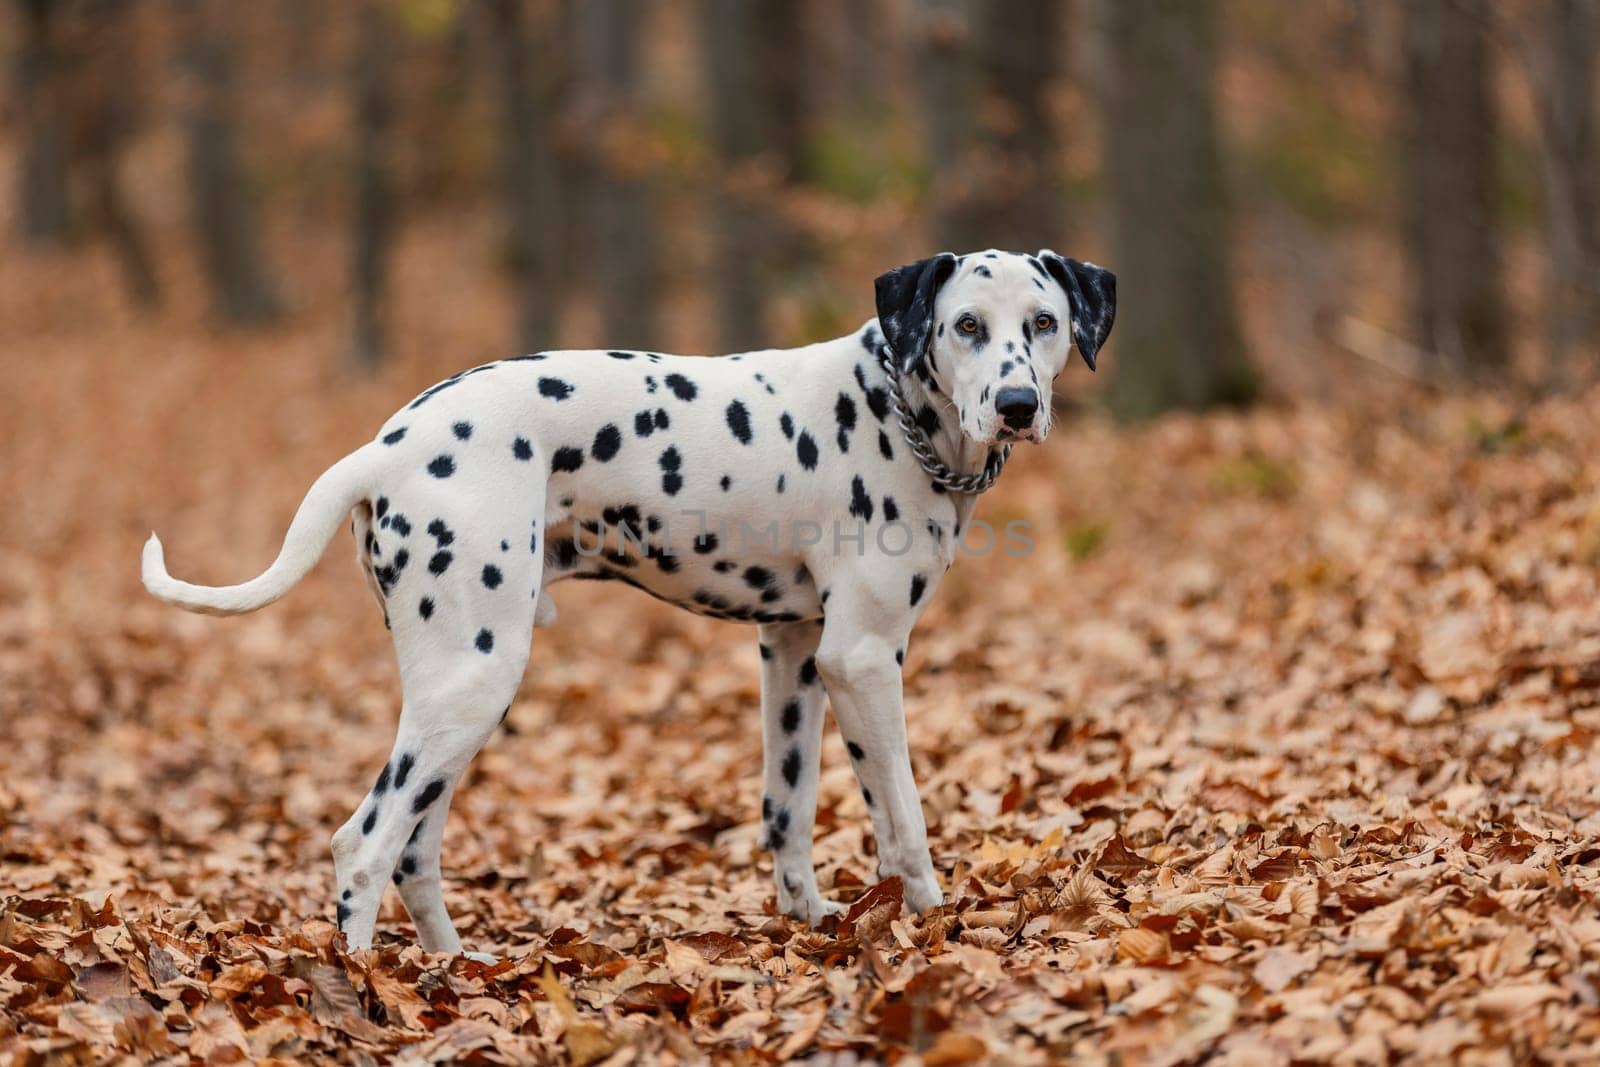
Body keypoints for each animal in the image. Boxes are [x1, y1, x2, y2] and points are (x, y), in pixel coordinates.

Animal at [147, 251, 1113, 959]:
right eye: (965, 325)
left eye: (1044, 324)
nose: (1018, 404)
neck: (887, 406)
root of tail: (387, 444)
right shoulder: (865, 659)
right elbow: (903, 819)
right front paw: (932, 922)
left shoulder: (797, 653)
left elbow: (787, 812)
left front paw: (810, 926)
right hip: (472, 683)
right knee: (366, 843)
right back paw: (361, 986)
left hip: (458, 695)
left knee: (415, 848)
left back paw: (451, 967)